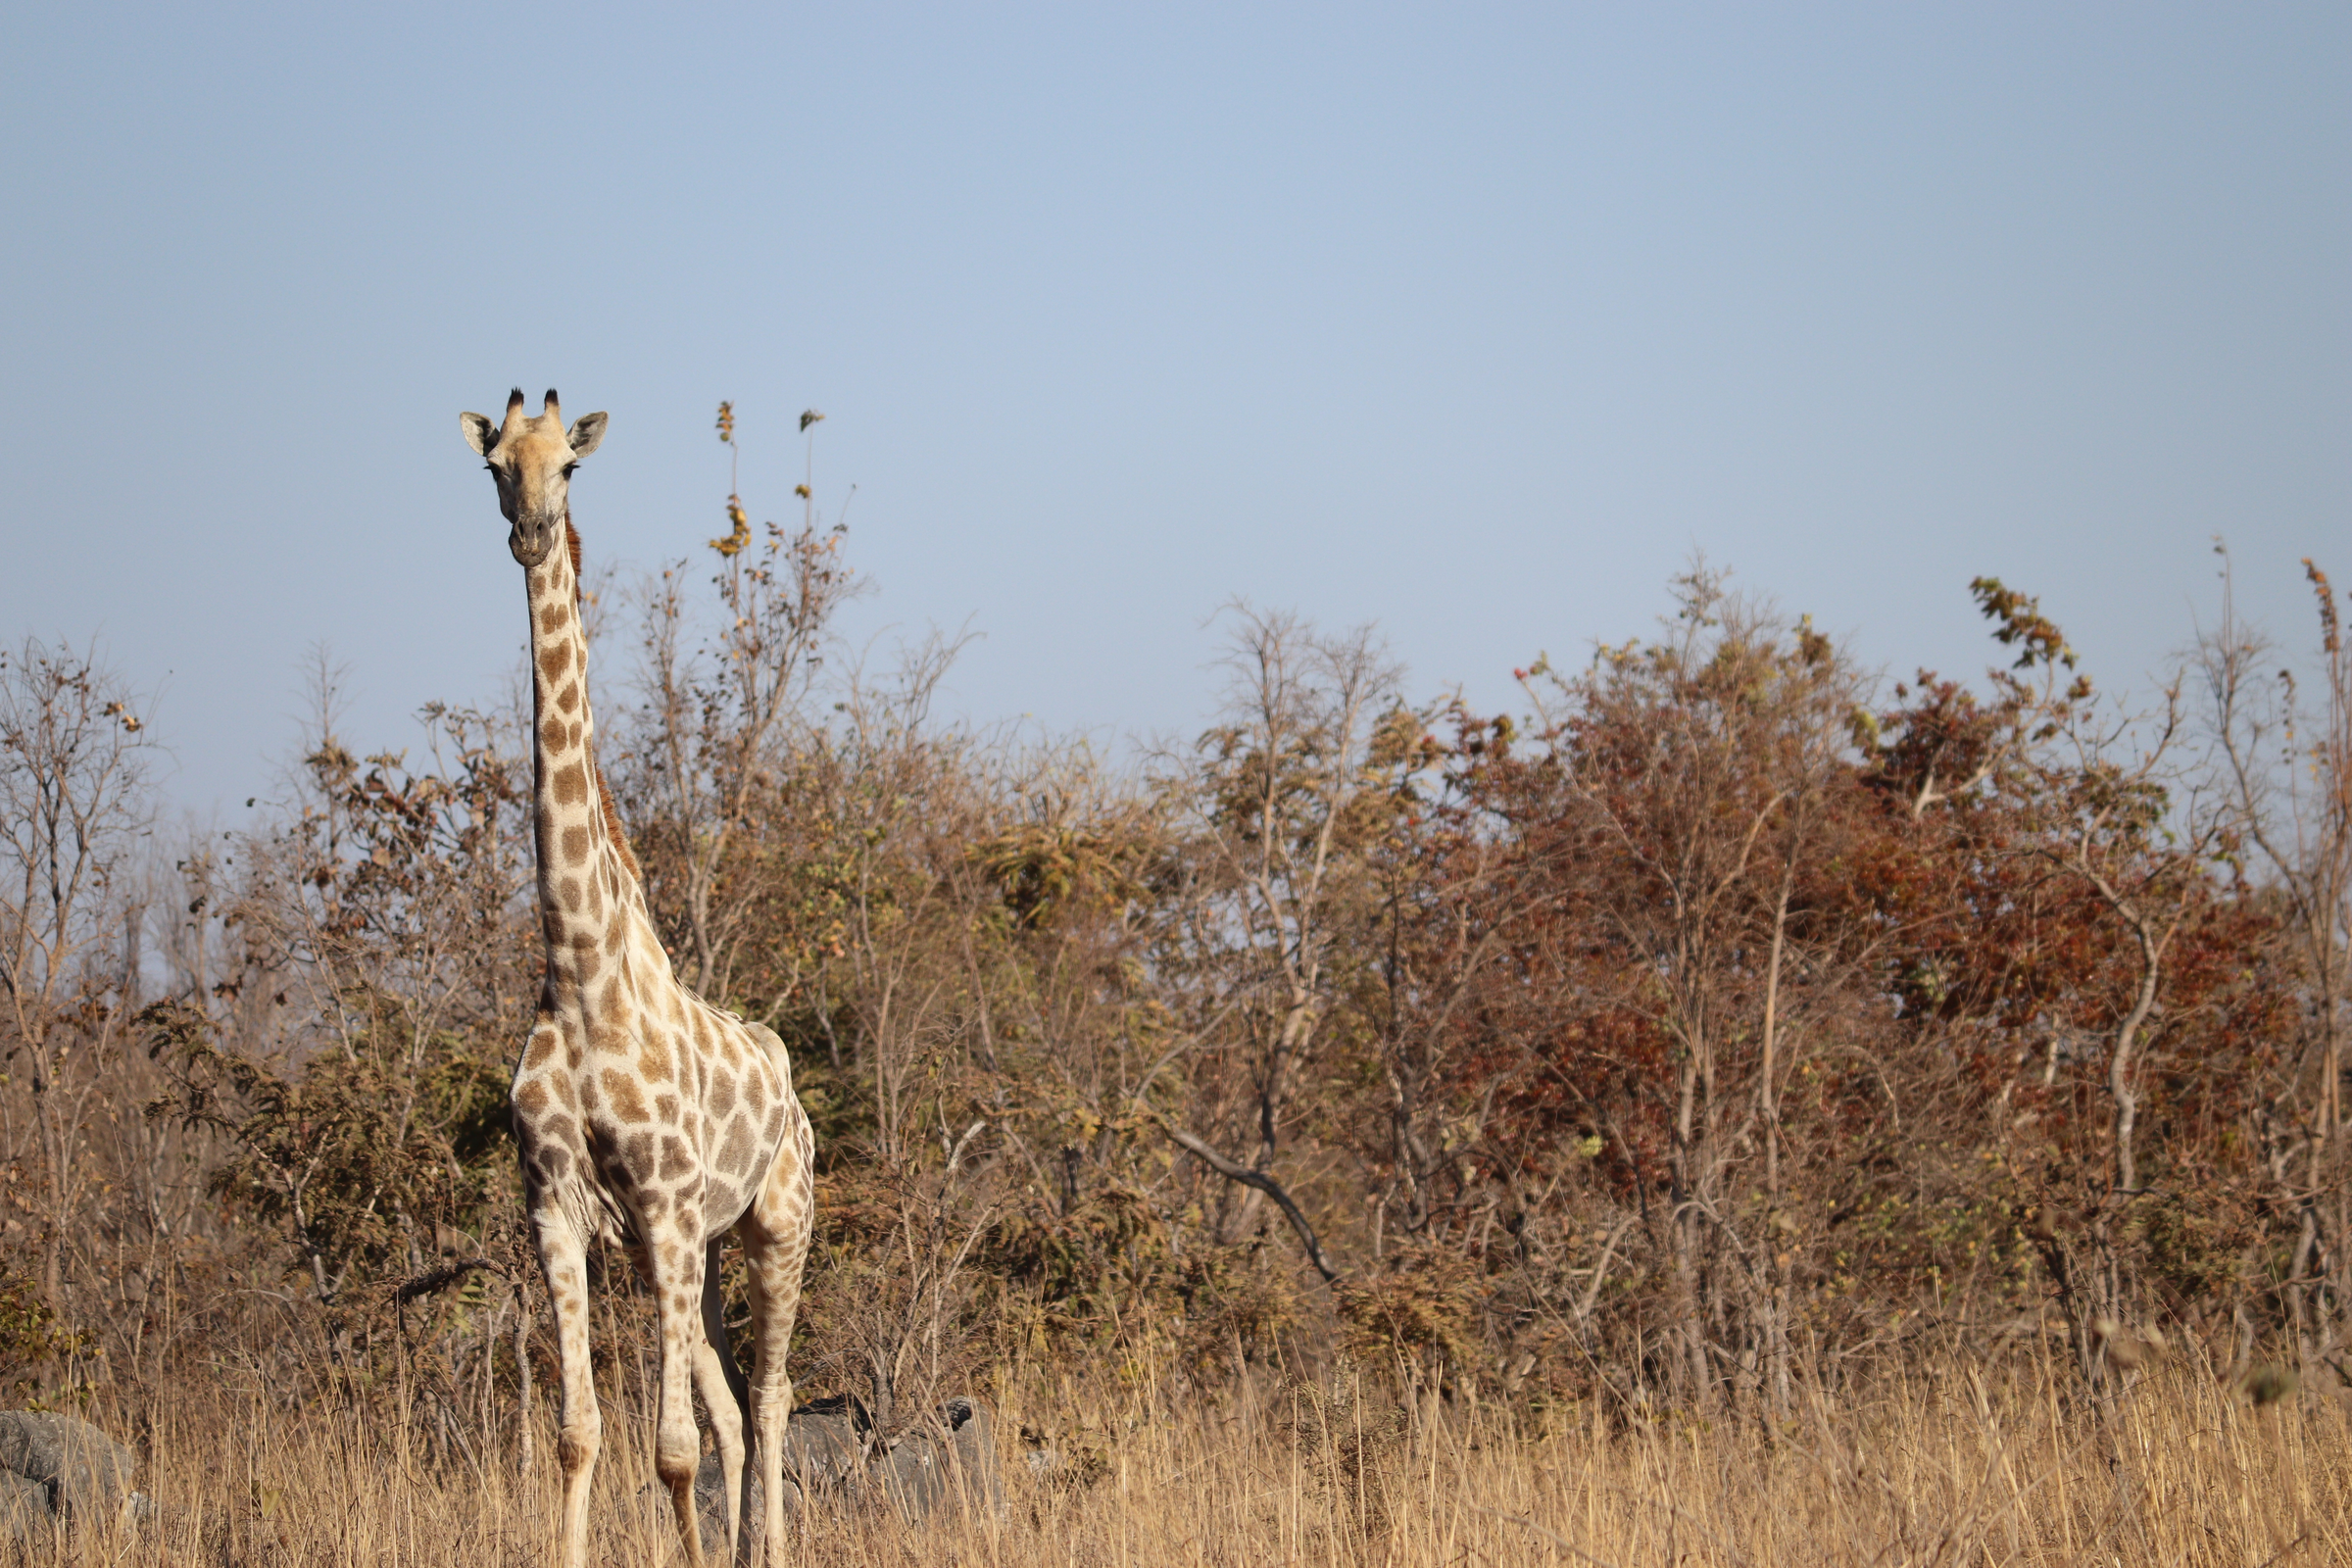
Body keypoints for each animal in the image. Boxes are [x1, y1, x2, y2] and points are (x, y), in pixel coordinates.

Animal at [463, 392, 823, 1568]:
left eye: (570, 468)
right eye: (495, 465)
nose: (533, 533)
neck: (579, 974)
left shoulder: (663, 1210)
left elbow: (669, 1448)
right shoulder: (560, 1211)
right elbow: (580, 1435)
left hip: (774, 1223)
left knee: (770, 1395)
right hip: (694, 1255)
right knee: (733, 1406)